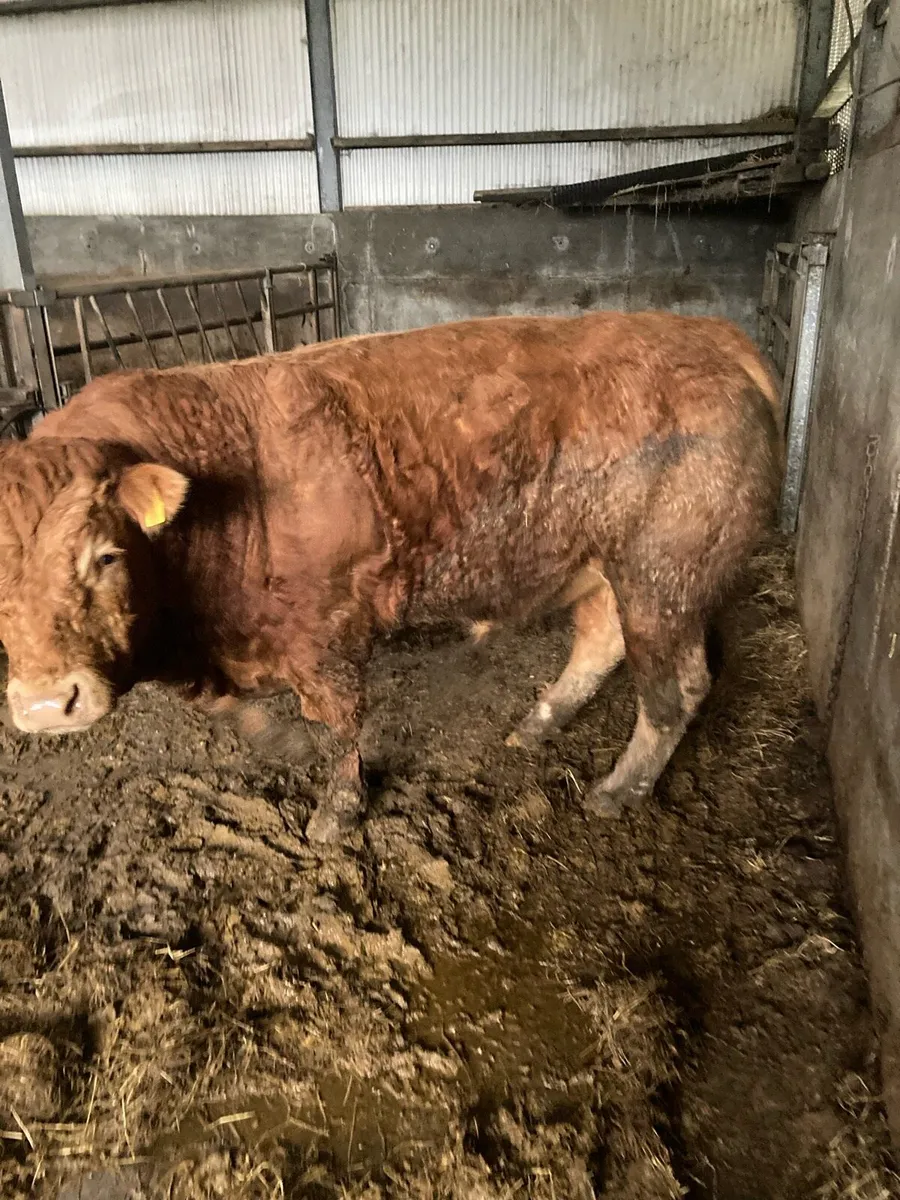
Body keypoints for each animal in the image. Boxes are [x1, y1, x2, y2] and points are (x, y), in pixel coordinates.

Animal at [0, 312, 781, 842]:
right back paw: (538, 724)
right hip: (607, 568)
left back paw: (620, 789)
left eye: (106, 554)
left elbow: (340, 725)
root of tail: (714, 338)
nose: (46, 705)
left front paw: (337, 811)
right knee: (601, 642)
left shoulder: (327, 632)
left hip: (664, 577)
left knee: (674, 688)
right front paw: (277, 741)